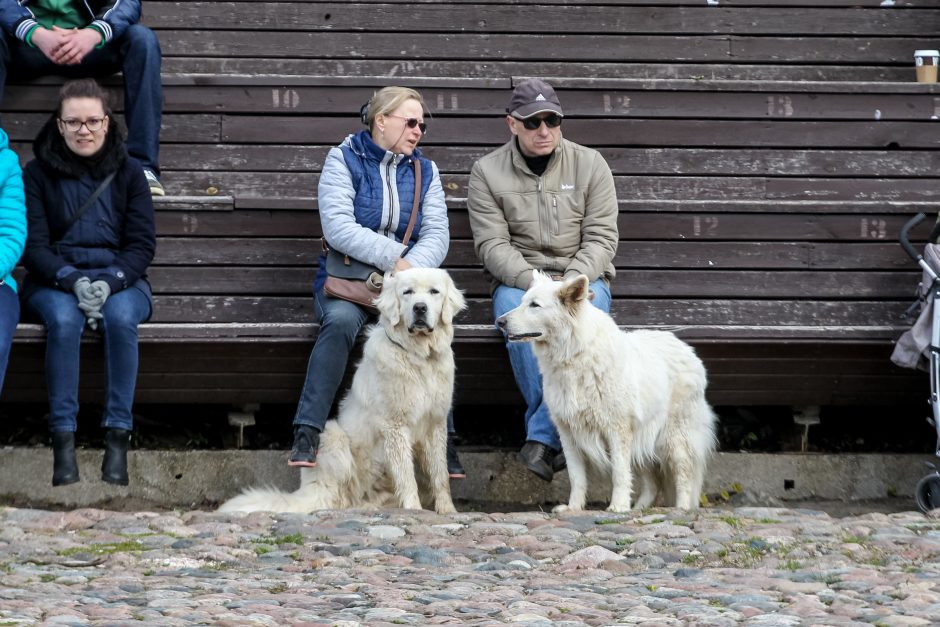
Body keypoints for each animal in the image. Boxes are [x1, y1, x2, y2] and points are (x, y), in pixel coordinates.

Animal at [221, 268, 470, 516]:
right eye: (407, 292)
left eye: (434, 292)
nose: (420, 307)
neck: (419, 356)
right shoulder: (395, 426)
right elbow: (406, 475)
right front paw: (414, 510)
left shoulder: (435, 425)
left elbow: (440, 474)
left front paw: (447, 511)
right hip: (333, 435)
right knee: (336, 498)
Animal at [496, 272, 716, 512]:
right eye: (522, 302)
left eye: (534, 305)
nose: (500, 322)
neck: (574, 354)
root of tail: (686, 348)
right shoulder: (569, 433)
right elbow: (576, 476)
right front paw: (574, 508)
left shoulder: (616, 430)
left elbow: (619, 473)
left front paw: (617, 506)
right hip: (643, 440)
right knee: (652, 483)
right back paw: (639, 509)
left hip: (674, 438)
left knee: (684, 475)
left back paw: (681, 509)